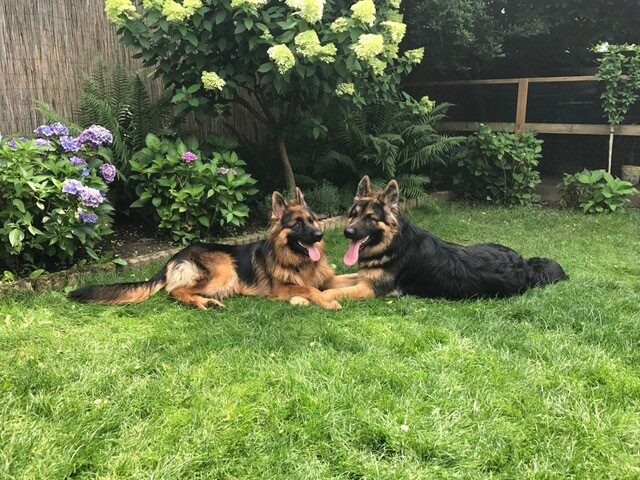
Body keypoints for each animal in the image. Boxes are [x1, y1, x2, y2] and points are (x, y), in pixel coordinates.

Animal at [69, 188, 357, 310]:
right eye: (297, 224)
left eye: (312, 220)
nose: (319, 235)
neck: (300, 261)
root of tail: (175, 256)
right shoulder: (282, 288)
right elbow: (309, 289)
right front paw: (327, 301)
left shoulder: (329, 279)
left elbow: (345, 280)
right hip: (225, 270)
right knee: (175, 291)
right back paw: (202, 303)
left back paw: (207, 302)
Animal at [320, 176, 568, 302]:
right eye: (353, 215)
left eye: (370, 218)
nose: (347, 232)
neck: (393, 244)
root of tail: (525, 265)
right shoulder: (363, 278)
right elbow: (337, 280)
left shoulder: (369, 289)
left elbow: (333, 291)